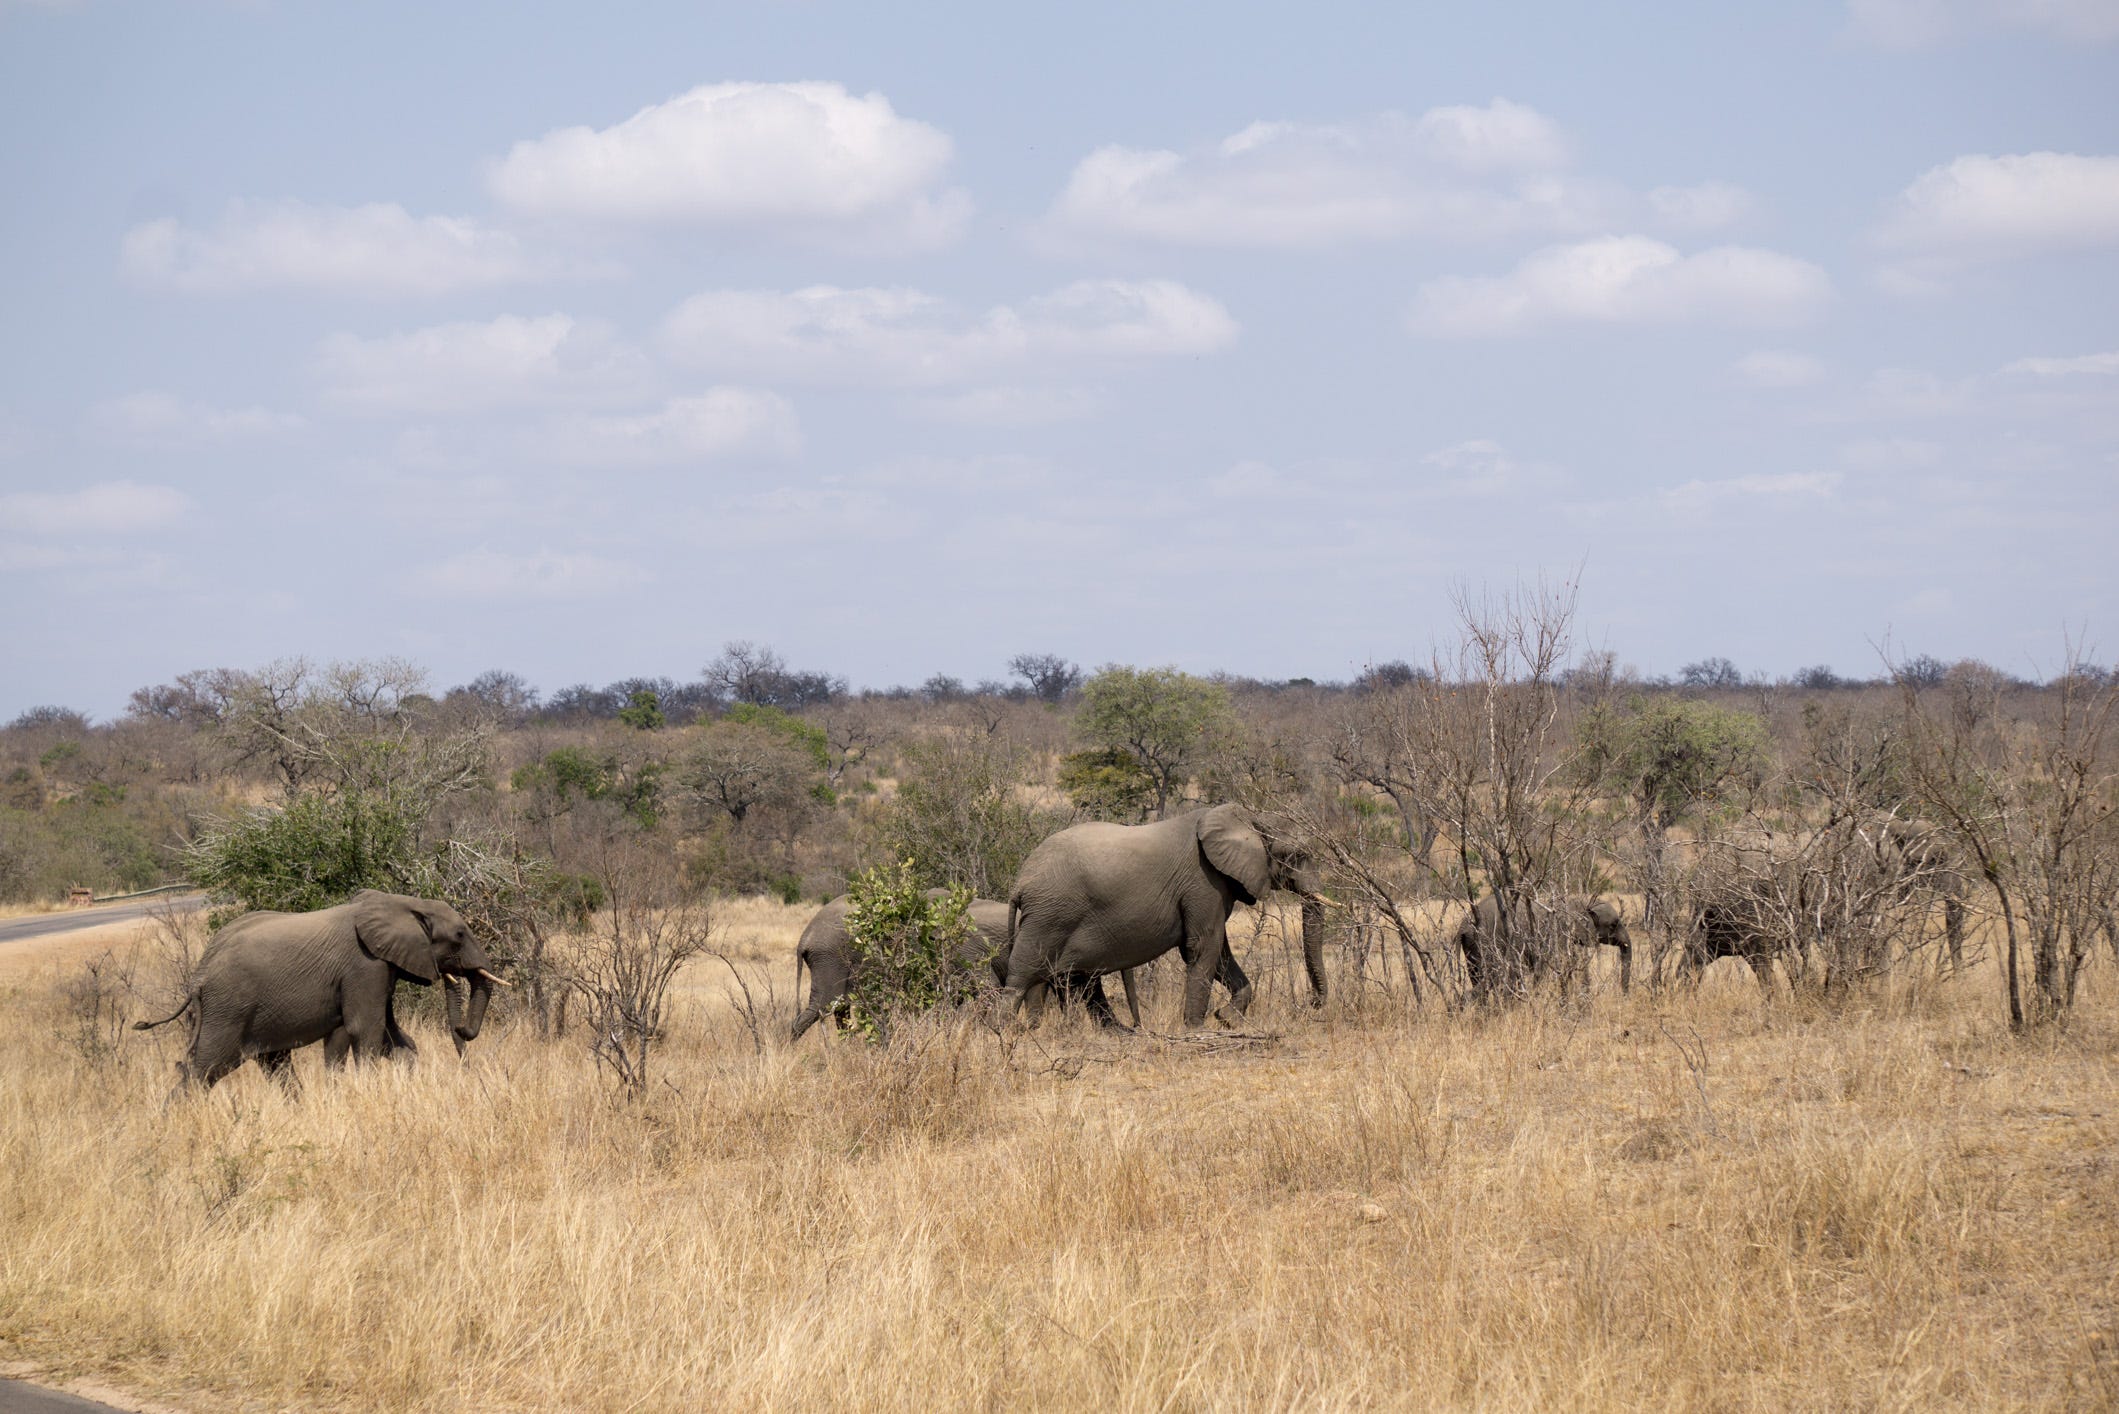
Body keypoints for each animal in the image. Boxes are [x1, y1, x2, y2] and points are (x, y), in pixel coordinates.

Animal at [136, 890, 508, 1093]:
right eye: (459, 935)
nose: (466, 1065)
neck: (401, 903)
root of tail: (198, 978)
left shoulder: (381, 969)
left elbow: (395, 1039)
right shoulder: (365, 965)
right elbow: (366, 1030)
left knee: (274, 1065)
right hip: (226, 1009)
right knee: (205, 1069)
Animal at [995, 805, 1322, 1030]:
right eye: (1296, 855)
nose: (1312, 1006)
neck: (1250, 818)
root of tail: (1020, 882)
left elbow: (1219, 953)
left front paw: (1226, 1019)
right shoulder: (1203, 881)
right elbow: (1202, 946)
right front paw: (1197, 1028)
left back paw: (1117, 1032)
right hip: (1050, 916)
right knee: (1023, 974)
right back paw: (1003, 1030)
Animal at [1457, 890, 1635, 1000]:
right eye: (1613, 924)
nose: (1624, 997)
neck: (1580, 901)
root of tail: (1464, 925)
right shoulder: (1560, 934)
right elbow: (1564, 965)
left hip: (1471, 946)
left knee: (1477, 977)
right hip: (1487, 941)